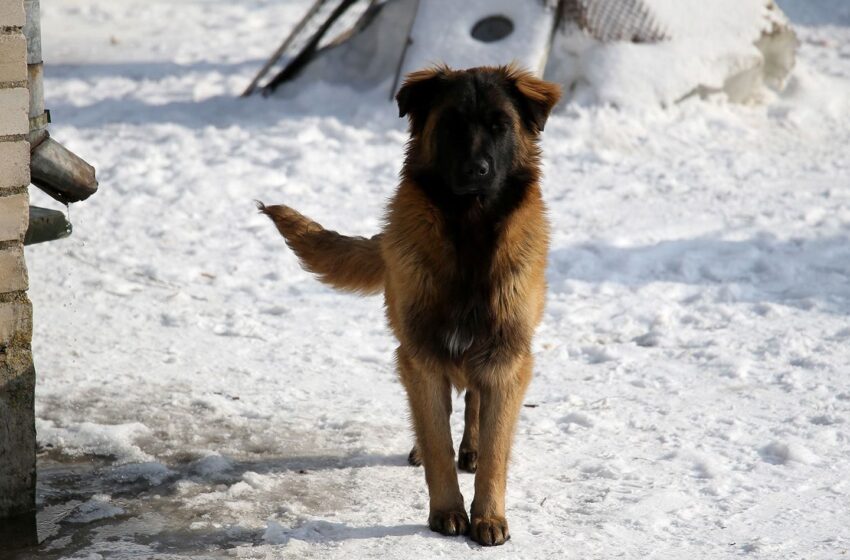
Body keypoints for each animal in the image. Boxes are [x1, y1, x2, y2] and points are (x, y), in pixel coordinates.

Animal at [262, 63, 560, 544]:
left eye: (499, 126)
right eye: (453, 125)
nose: (477, 169)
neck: (469, 236)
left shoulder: (506, 358)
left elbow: (496, 448)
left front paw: (488, 516)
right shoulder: (420, 356)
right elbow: (437, 441)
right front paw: (447, 511)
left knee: (474, 404)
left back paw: (471, 448)